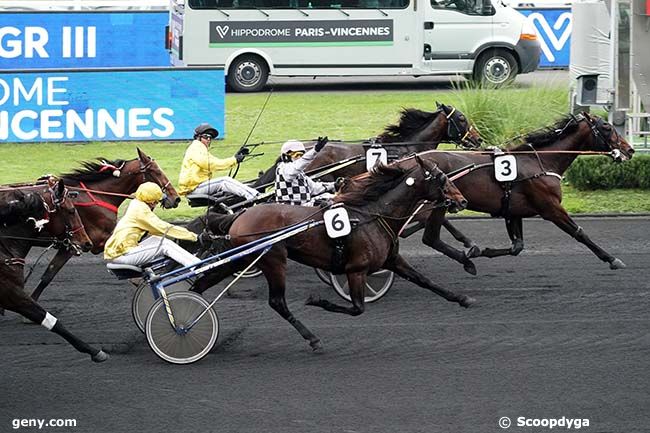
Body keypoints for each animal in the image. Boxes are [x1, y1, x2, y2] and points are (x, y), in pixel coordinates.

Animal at [416, 113, 632, 272]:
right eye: (607, 127)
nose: (629, 150)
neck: (540, 162)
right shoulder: (551, 208)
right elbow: (579, 233)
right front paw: (612, 259)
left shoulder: (514, 210)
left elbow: (517, 247)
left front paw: (483, 250)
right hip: (438, 205)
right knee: (430, 238)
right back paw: (465, 259)